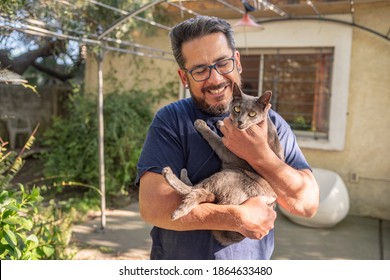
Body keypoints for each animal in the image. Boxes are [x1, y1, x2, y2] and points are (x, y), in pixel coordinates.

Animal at [161, 82, 284, 244]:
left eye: (252, 114)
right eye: (237, 109)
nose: (240, 122)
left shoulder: (229, 151)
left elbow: (215, 138)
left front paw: (203, 125)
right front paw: (221, 123)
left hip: (230, 176)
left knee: (197, 190)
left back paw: (169, 175)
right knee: (198, 191)